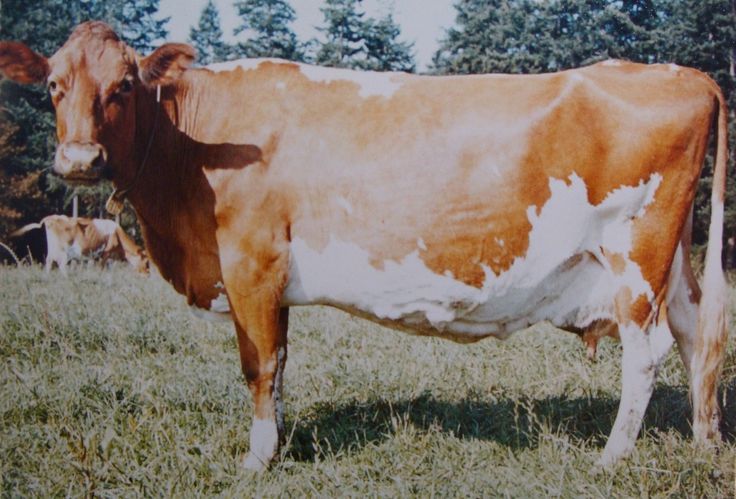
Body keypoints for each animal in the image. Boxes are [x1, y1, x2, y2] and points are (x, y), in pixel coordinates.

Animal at [10, 215, 149, 276]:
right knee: (61, 264)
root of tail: (52, 217)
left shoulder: (93, 257)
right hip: (63, 251)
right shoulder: (106, 253)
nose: (147, 275)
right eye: (147, 262)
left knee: (49, 261)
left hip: (53, 250)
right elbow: (101, 268)